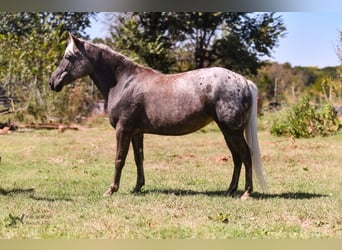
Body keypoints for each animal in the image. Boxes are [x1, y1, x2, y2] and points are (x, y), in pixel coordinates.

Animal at [48, 33, 268, 197]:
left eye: (69, 57)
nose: (52, 82)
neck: (123, 82)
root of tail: (244, 81)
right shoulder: (136, 132)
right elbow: (138, 158)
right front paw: (137, 187)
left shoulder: (123, 129)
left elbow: (119, 159)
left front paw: (111, 190)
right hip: (227, 130)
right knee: (237, 157)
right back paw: (230, 190)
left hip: (232, 131)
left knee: (245, 155)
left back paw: (246, 192)